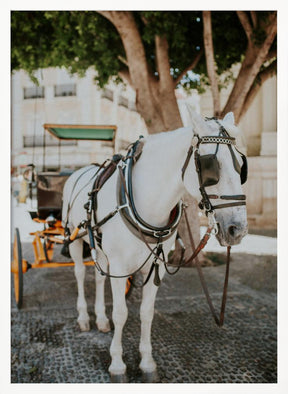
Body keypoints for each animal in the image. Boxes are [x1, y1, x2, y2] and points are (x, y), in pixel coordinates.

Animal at [61, 111, 248, 382]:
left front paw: (147, 362)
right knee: (79, 274)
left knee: (98, 277)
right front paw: (117, 364)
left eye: (242, 167)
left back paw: (101, 319)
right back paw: (84, 317)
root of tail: (80, 170)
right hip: (75, 239)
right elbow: (122, 313)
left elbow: (146, 313)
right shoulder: (120, 266)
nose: (238, 229)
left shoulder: (156, 263)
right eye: (211, 166)